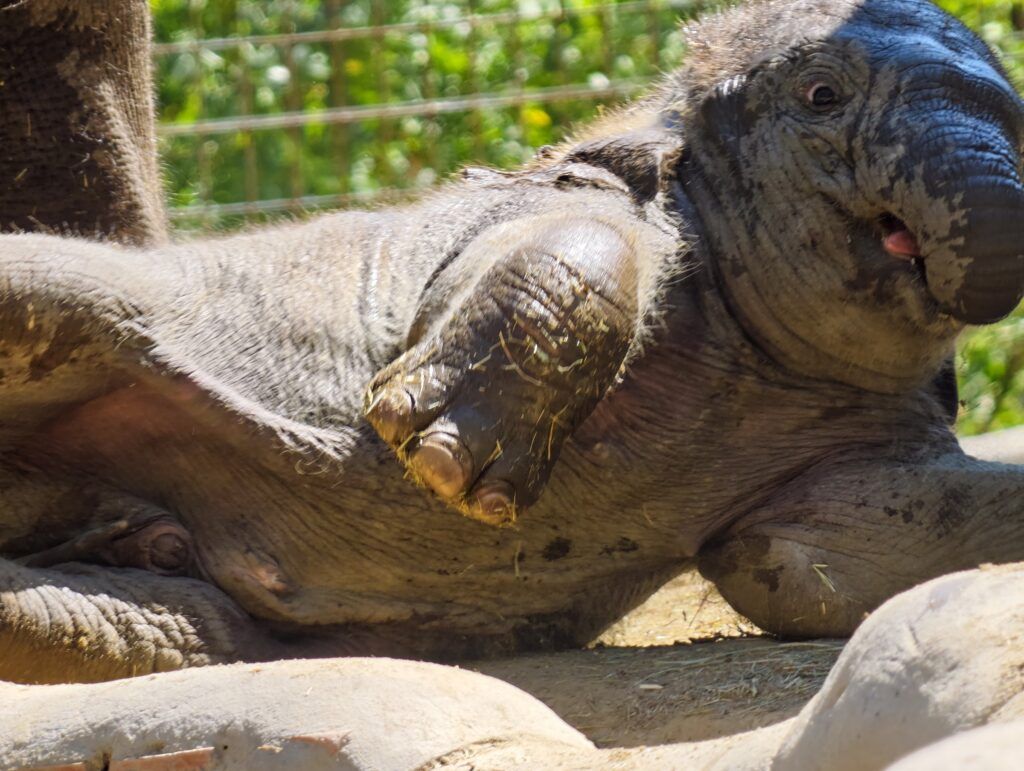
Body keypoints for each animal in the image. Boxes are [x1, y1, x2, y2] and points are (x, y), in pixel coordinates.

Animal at [0, 0, 1022, 684]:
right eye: (822, 95)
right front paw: (443, 463)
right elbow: (580, 237)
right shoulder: (556, 194)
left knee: (143, 630)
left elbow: (814, 562)